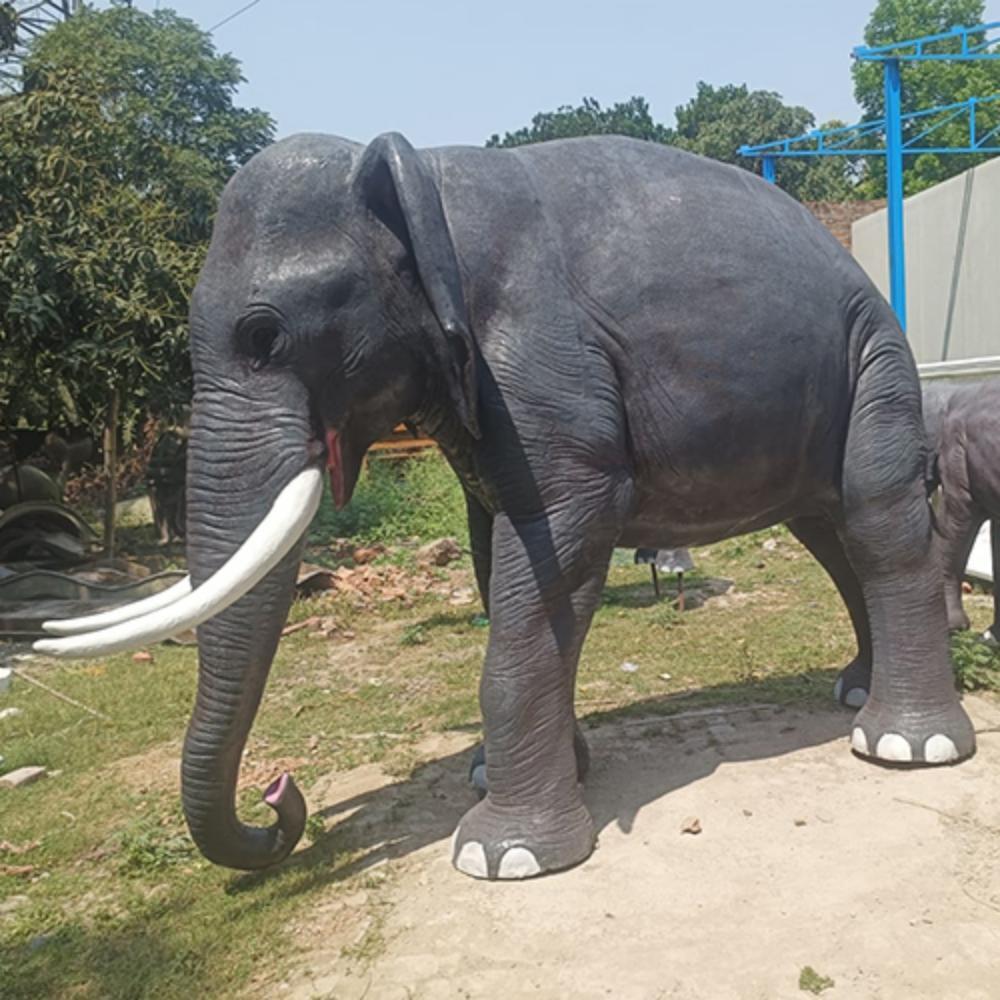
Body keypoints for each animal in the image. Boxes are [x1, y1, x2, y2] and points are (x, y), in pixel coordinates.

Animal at [36, 132, 976, 881]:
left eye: (265, 336)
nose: (281, 792)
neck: (420, 176)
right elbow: (495, 551)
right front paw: (520, 776)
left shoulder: (544, 365)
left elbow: (561, 532)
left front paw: (504, 856)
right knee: (829, 532)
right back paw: (857, 696)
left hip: (874, 358)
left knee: (875, 520)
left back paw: (906, 747)